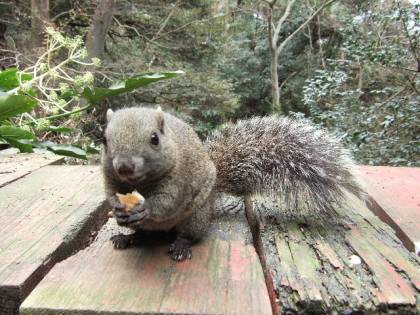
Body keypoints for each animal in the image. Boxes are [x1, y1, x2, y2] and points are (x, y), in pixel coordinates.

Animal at [101, 107, 364, 262]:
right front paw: (117, 209)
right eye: (104, 139)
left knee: (189, 234)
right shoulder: (110, 178)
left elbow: (167, 201)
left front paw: (146, 208)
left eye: (154, 139)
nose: (124, 166)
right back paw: (127, 238)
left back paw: (181, 246)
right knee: (144, 235)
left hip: (196, 217)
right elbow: (110, 193)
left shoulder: (179, 178)